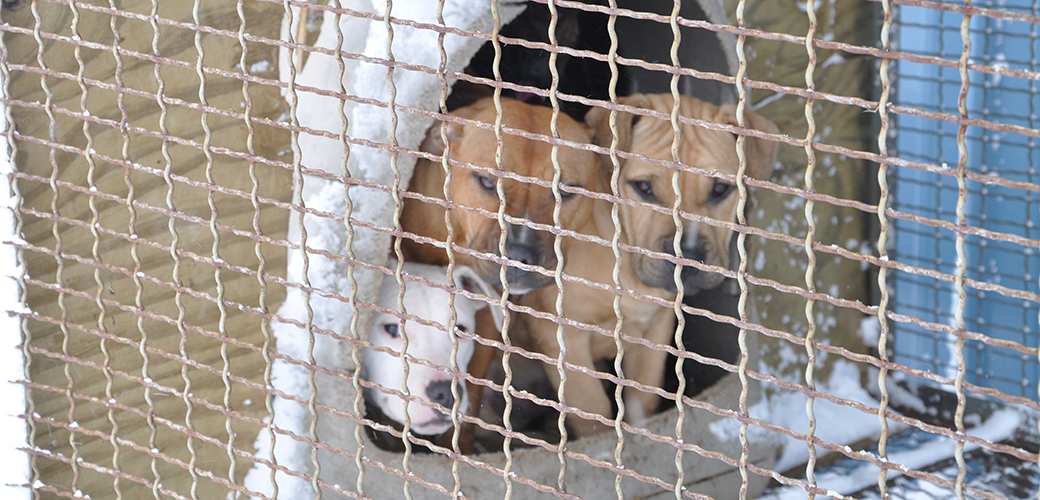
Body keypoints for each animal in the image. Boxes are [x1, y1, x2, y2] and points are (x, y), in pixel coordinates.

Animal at [520, 93, 782, 436]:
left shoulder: (653, 330)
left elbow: (642, 398)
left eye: (720, 189)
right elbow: (592, 411)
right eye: (644, 187)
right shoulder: (560, 335)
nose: (687, 257)